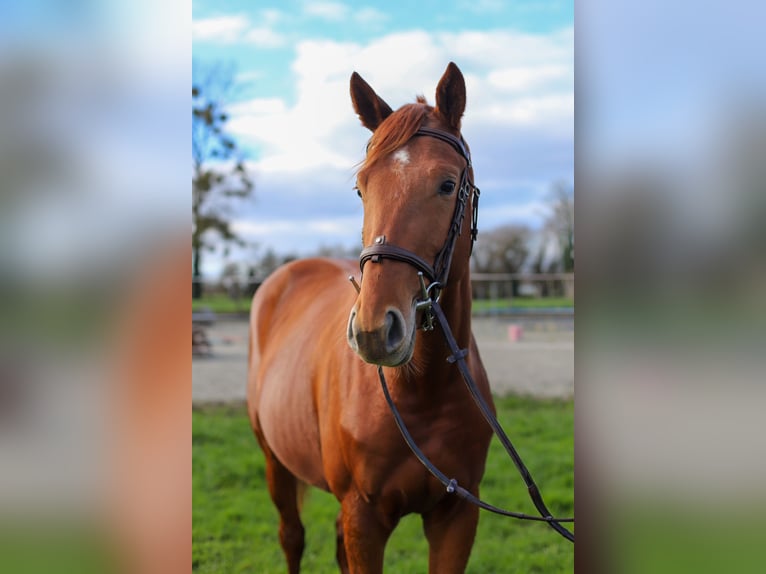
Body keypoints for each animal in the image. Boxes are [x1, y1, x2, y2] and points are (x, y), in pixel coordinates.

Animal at [249, 60, 496, 572]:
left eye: (447, 184)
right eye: (361, 188)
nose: (375, 330)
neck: (421, 394)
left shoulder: (457, 516)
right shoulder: (364, 516)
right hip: (274, 461)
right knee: (292, 537)